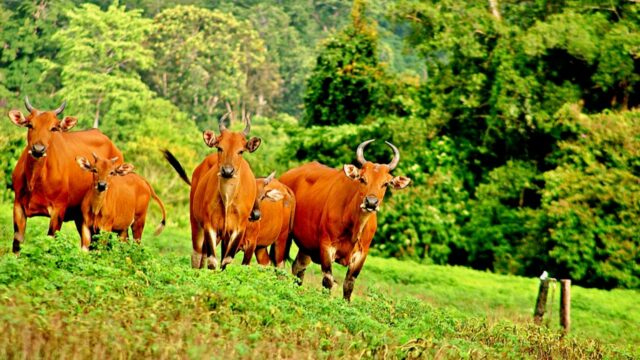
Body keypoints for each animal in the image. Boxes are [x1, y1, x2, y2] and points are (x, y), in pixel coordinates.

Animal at [8, 97, 123, 252]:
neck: (35, 180)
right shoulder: (18, 205)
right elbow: (17, 243)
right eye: (30, 125)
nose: (38, 149)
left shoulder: (58, 210)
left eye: (53, 128)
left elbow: (51, 242)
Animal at [164, 114, 262, 268]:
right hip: (195, 222)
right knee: (197, 253)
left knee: (205, 253)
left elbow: (225, 260)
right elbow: (212, 261)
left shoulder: (238, 230)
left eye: (240, 151)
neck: (227, 201)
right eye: (220, 148)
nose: (227, 171)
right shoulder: (209, 225)